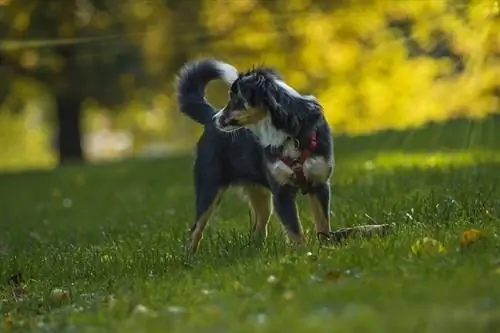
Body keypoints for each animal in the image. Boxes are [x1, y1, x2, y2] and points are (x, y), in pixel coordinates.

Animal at [176, 58, 336, 253]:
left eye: (235, 98)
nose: (216, 119)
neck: (289, 132)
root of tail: (209, 115)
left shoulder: (319, 185)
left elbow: (323, 225)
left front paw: (326, 250)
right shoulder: (281, 192)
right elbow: (294, 230)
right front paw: (303, 253)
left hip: (260, 197)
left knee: (258, 229)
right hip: (209, 187)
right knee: (195, 231)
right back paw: (189, 257)